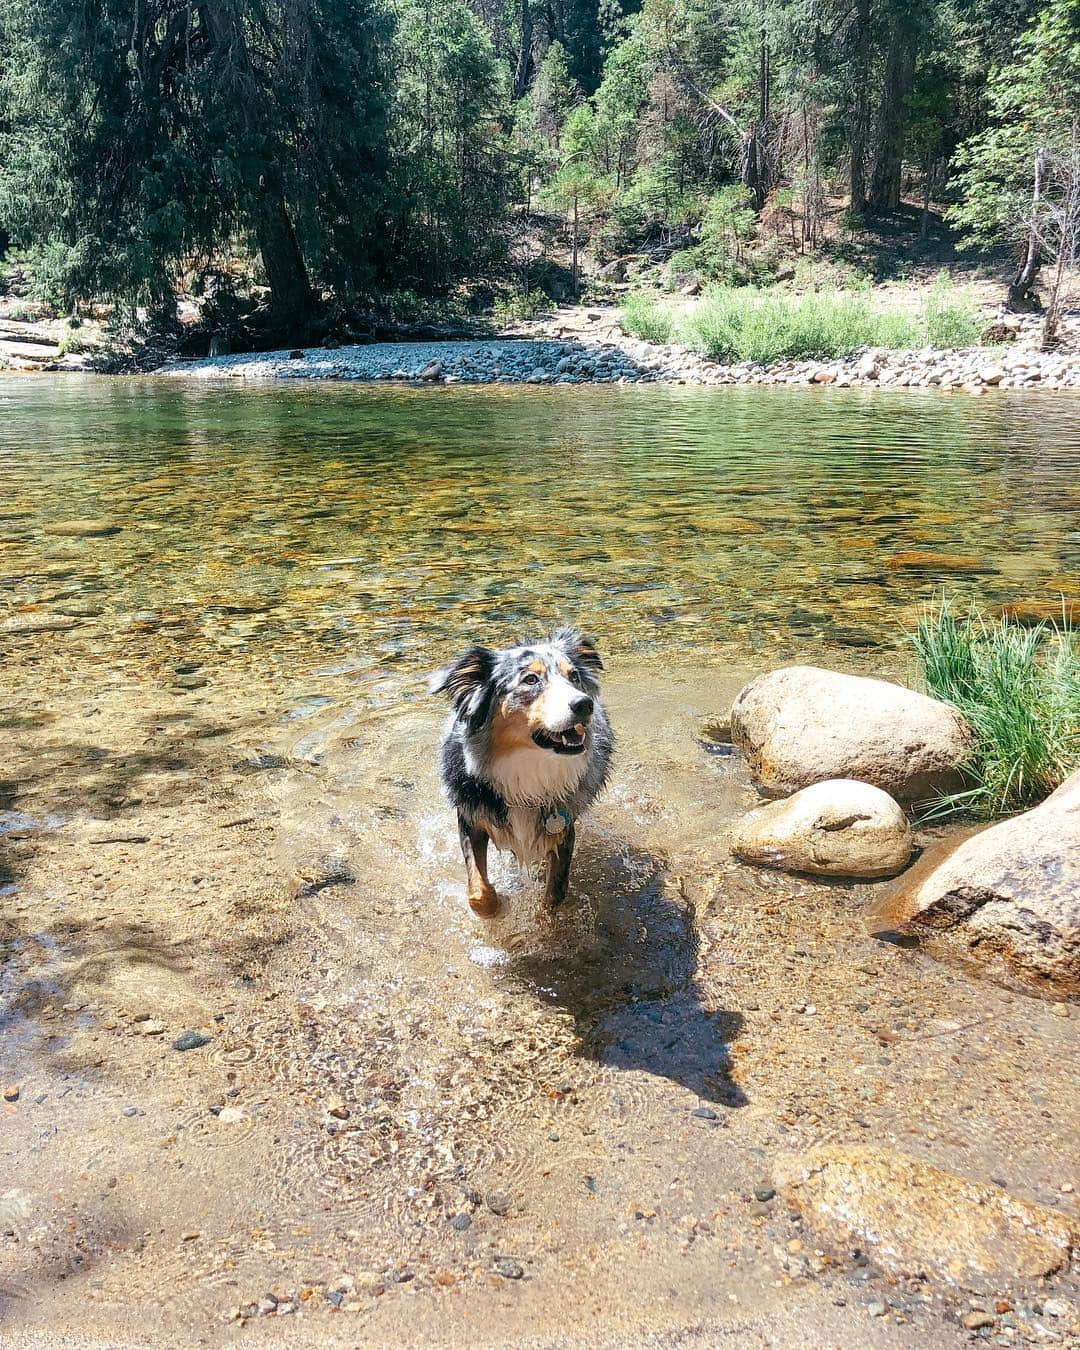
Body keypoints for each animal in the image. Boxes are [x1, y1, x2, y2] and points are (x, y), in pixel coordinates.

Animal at [429, 626, 615, 912]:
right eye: (530, 680)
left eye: (573, 676)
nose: (585, 704)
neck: (526, 764)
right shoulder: (471, 818)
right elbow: (479, 893)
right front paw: (499, 906)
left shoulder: (563, 827)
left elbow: (554, 894)